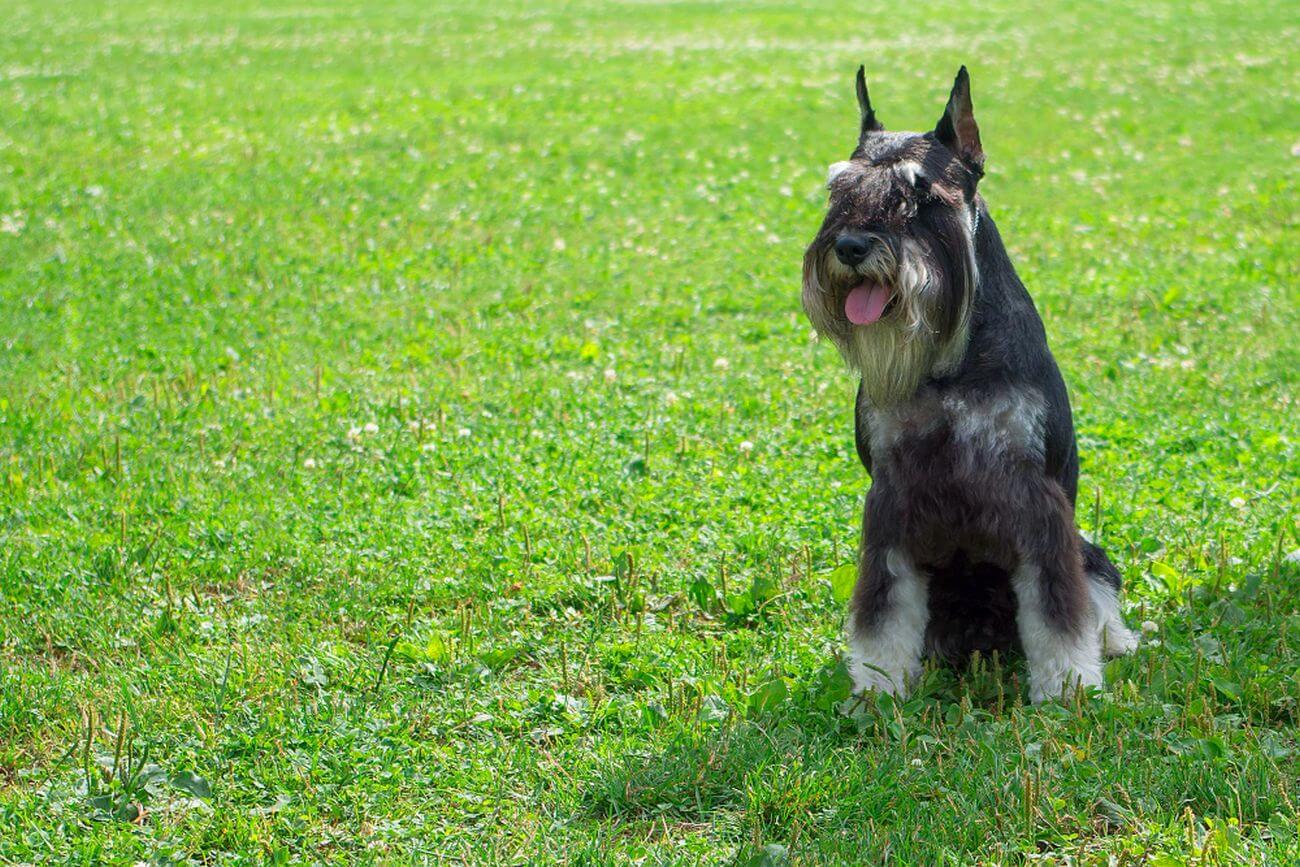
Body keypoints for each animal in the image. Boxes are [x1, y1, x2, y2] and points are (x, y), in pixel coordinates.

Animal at [800, 67, 1138, 707]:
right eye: (838, 191)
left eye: (924, 196)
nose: (850, 247)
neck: (948, 361)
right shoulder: (892, 500)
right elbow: (883, 609)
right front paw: (877, 688)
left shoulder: (1037, 501)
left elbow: (1059, 607)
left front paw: (1067, 687)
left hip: (1089, 549)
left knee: (1097, 595)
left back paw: (1118, 643)